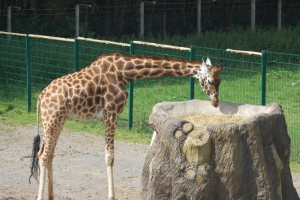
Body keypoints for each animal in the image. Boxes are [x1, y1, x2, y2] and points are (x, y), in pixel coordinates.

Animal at [29, 52, 223, 199]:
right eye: (210, 81)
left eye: (220, 81)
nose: (215, 103)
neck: (125, 73)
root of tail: (40, 97)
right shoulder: (111, 113)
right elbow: (110, 157)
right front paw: (111, 196)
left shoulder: (110, 115)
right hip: (52, 119)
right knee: (43, 155)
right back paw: (40, 197)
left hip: (59, 120)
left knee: (48, 153)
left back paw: (51, 195)